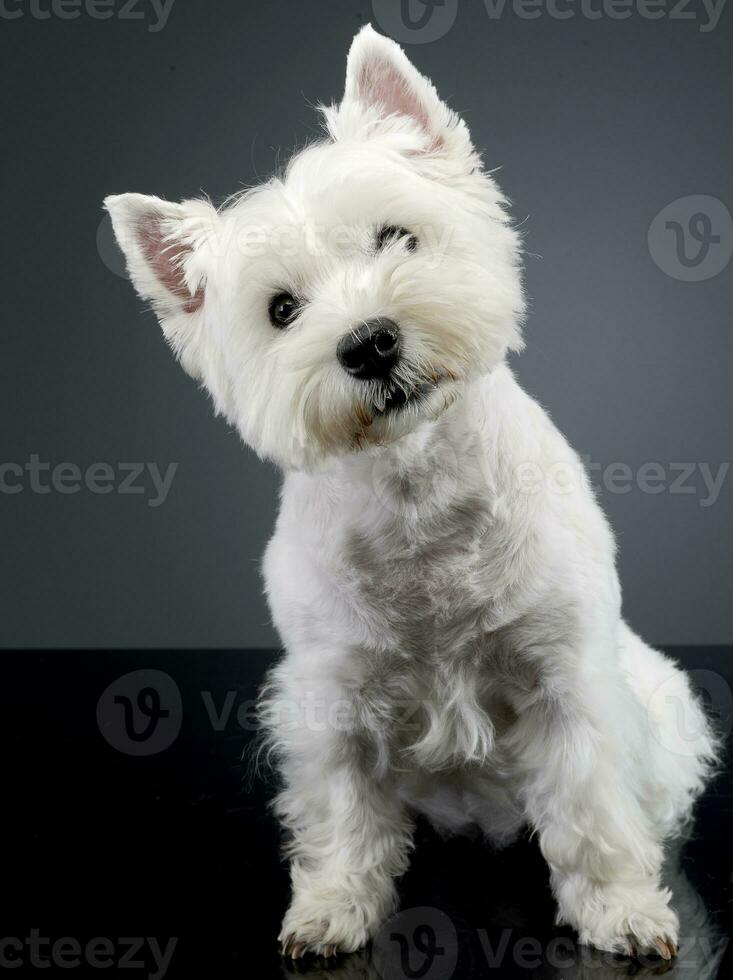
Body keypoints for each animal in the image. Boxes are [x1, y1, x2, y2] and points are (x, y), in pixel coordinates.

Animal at [107, 24, 716, 964]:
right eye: (281, 310)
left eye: (395, 237)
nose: (368, 343)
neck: (417, 492)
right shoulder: (332, 701)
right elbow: (343, 815)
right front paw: (330, 911)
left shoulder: (566, 682)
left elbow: (590, 811)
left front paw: (620, 911)